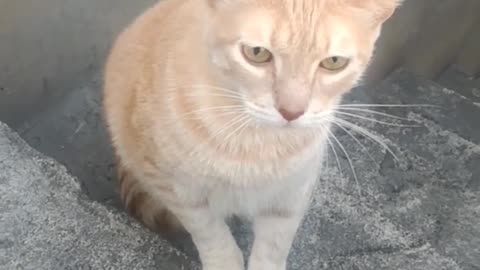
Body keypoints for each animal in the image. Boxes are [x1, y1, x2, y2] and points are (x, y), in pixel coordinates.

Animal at [104, 0, 402, 268]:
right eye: (257, 53)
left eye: (334, 62)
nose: (292, 111)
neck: (255, 143)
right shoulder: (174, 188)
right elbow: (210, 233)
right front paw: (224, 261)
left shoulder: (292, 195)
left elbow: (273, 248)